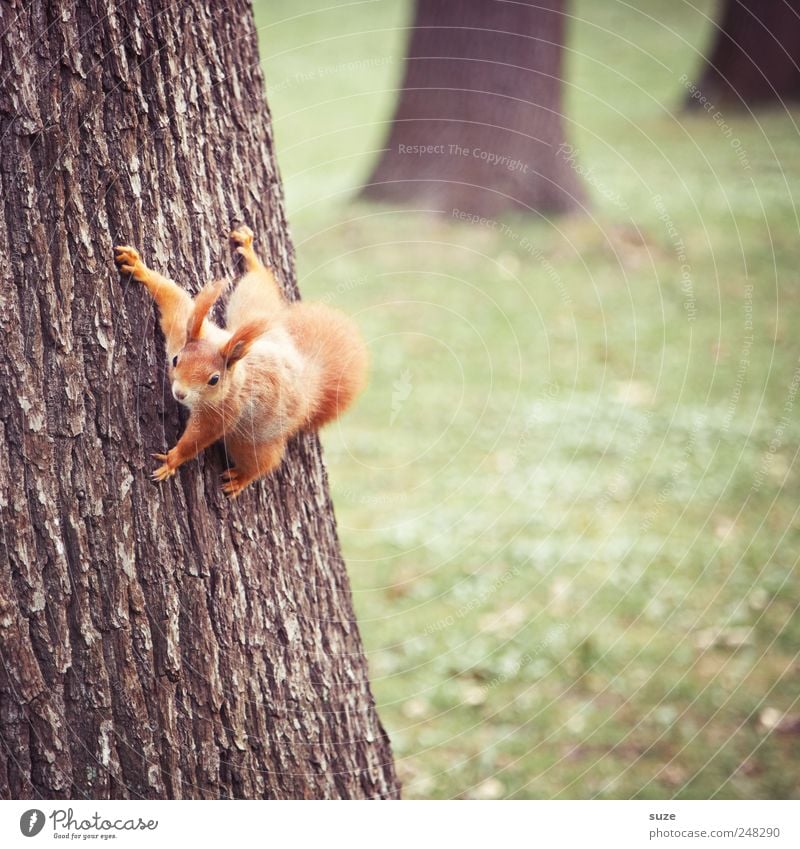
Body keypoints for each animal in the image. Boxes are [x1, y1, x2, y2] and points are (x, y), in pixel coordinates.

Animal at [113, 225, 368, 496]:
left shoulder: (223, 411)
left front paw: (173, 460)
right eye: (175, 359)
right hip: (255, 310)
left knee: (264, 461)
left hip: (250, 439)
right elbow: (174, 298)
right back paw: (251, 256)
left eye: (214, 380)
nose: (180, 393)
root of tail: (308, 383)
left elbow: (200, 437)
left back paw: (242, 478)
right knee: (259, 287)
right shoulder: (180, 328)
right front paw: (137, 266)